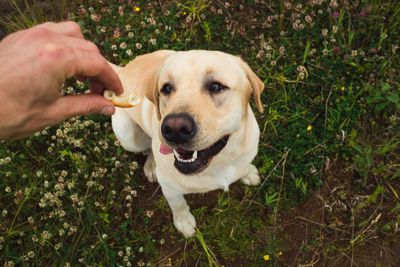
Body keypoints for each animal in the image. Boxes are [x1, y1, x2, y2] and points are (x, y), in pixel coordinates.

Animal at [110, 49, 266, 238]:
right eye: (166, 88)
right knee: (147, 147)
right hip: (130, 139)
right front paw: (184, 223)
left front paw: (248, 173)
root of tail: (122, 70)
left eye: (216, 87)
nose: (174, 128)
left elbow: (244, 166)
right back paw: (151, 165)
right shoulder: (169, 187)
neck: (219, 162)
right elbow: (178, 205)